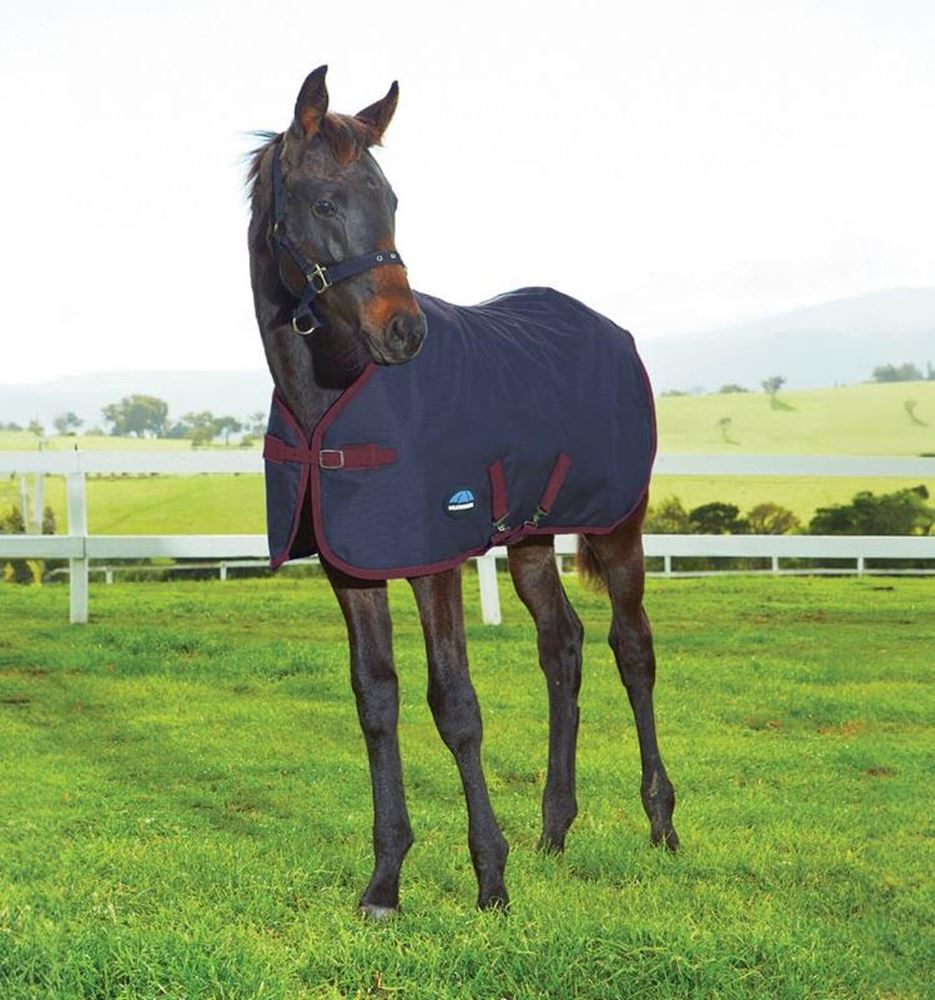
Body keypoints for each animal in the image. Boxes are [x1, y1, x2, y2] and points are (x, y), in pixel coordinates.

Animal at [246, 65, 678, 917]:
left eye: (391, 200)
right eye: (324, 202)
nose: (404, 333)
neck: (333, 397)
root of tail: (610, 331)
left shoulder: (433, 560)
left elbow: (454, 704)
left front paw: (490, 880)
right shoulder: (352, 567)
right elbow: (375, 701)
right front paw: (384, 883)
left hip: (618, 526)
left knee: (631, 648)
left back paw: (660, 822)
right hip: (533, 536)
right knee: (561, 645)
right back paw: (554, 829)